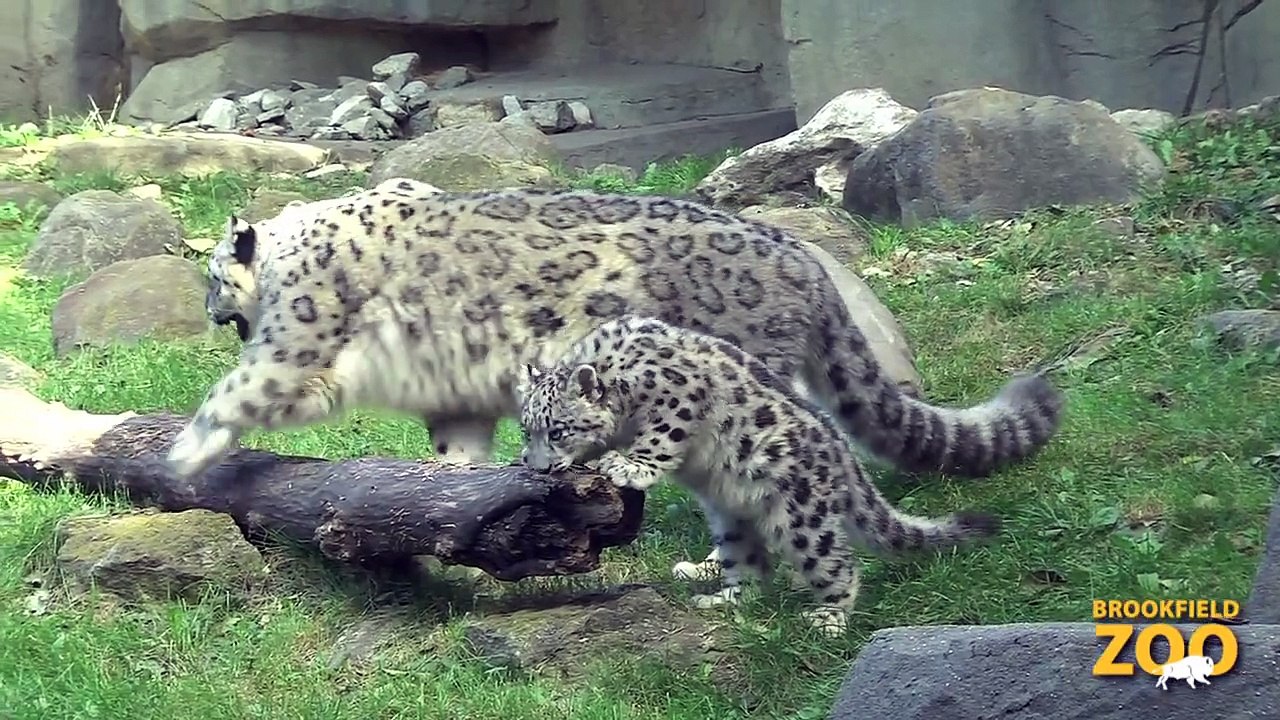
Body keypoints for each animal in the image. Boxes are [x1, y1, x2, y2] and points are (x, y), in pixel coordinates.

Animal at [170, 179, 1063, 579]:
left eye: (211, 275)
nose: (208, 308)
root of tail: (806, 262)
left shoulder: (293, 344)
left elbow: (236, 392)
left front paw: (181, 453)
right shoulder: (453, 399)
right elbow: (455, 451)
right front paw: (442, 500)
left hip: (747, 369)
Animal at [516, 314, 1005, 636]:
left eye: (558, 430)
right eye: (526, 428)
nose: (538, 466)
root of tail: (842, 454)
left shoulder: (679, 397)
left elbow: (660, 437)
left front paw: (626, 466)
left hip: (803, 518)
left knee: (837, 563)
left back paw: (829, 618)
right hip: (732, 521)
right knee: (751, 567)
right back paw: (723, 598)